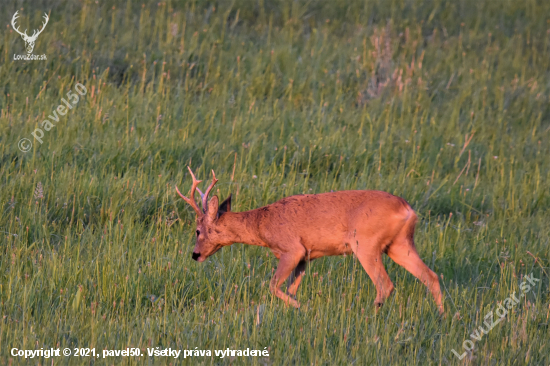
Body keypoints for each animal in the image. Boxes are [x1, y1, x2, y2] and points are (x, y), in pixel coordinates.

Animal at [177, 167, 444, 314]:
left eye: (198, 230)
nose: (195, 254)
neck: (262, 225)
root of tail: (407, 209)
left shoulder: (292, 249)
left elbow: (272, 285)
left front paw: (302, 308)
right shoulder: (306, 256)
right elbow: (290, 289)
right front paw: (296, 309)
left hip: (366, 245)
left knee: (385, 284)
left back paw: (370, 315)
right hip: (399, 245)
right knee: (431, 276)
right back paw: (443, 316)